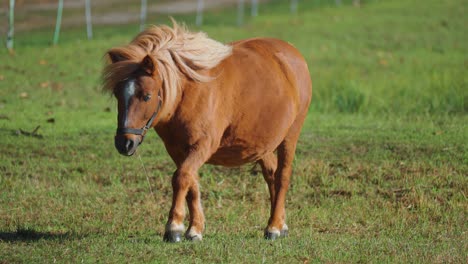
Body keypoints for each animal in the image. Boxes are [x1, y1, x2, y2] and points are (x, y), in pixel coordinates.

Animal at [104, 21, 312, 242]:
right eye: (117, 94)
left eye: (146, 96)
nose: (124, 143)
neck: (188, 92)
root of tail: (292, 53)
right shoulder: (177, 150)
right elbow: (191, 183)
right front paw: (194, 228)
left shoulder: (202, 146)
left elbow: (181, 178)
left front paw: (174, 227)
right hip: (260, 144)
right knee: (271, 175)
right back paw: (280, 223)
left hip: (290, 136)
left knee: (282, 176)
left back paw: (273, 227)